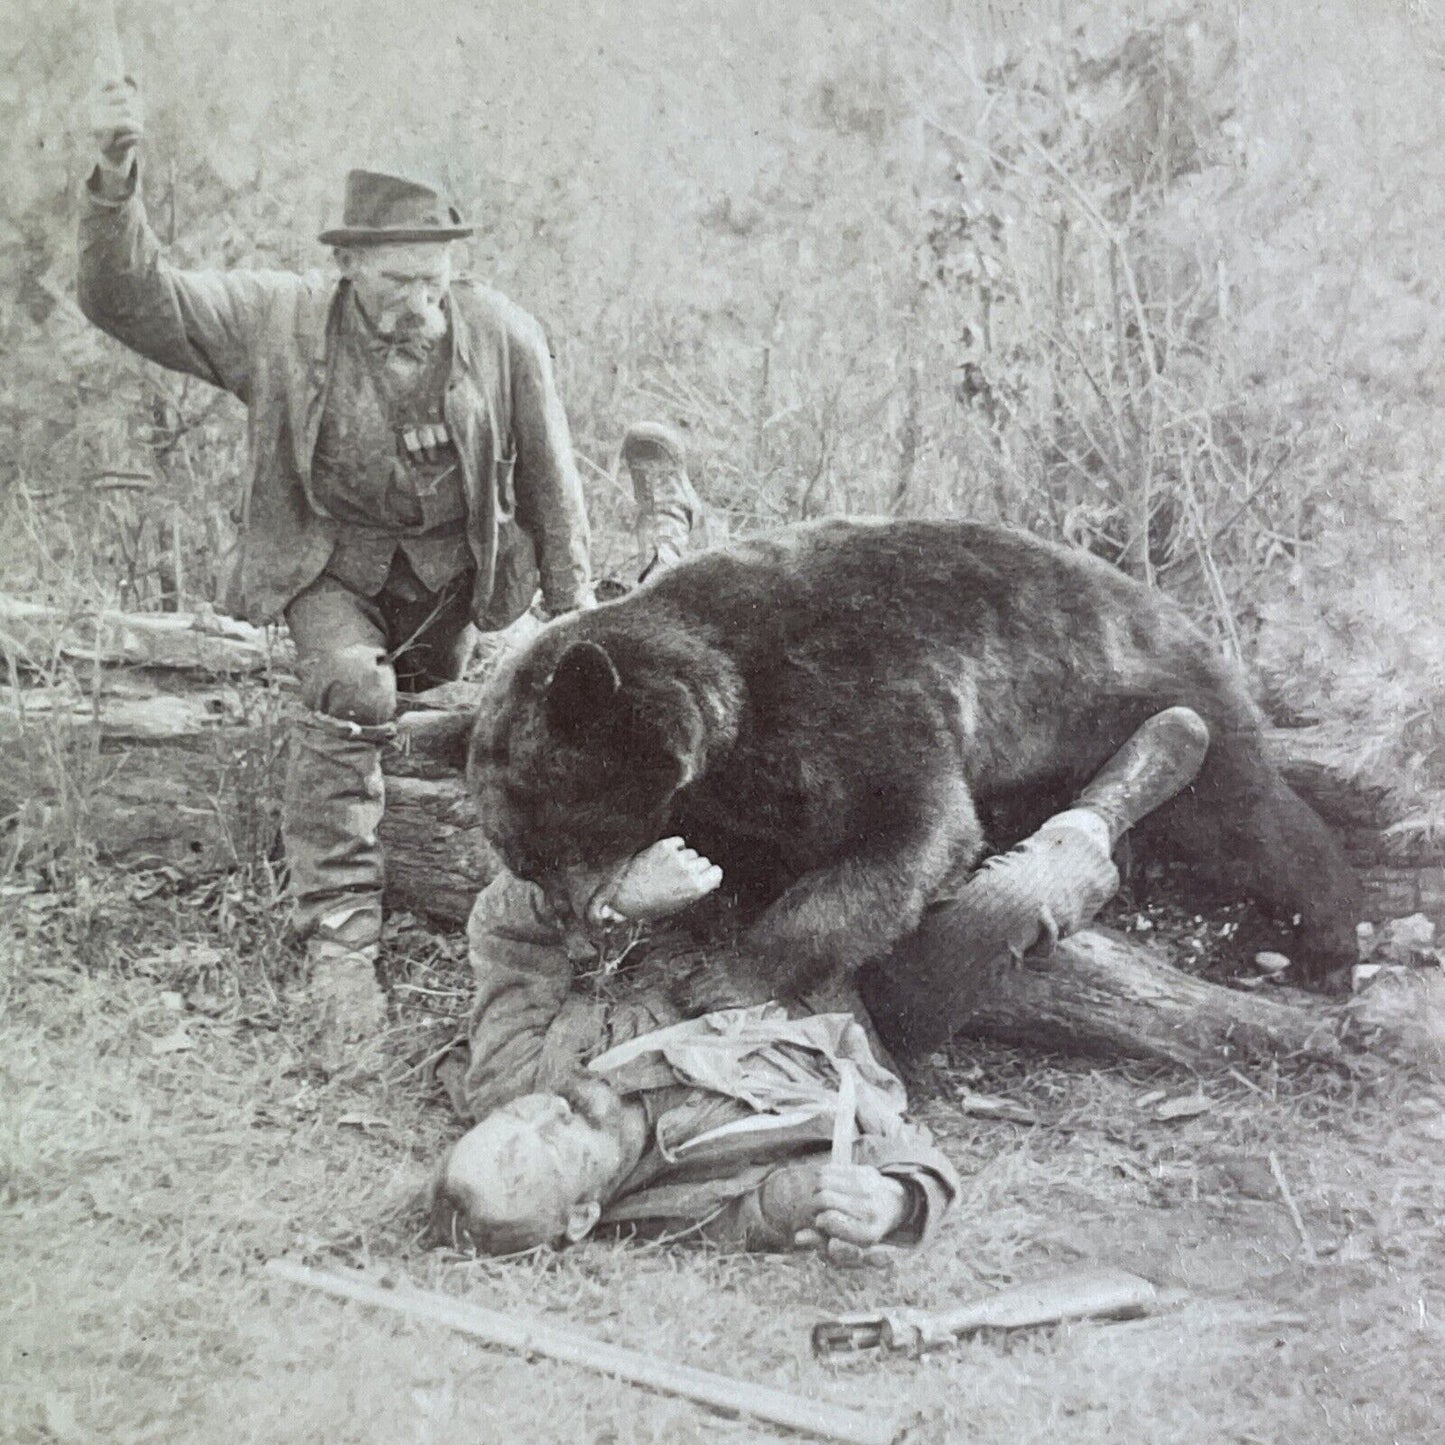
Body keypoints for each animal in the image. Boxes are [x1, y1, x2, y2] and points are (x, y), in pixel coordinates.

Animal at [468, 523, 1358, 1017]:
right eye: (524, 858)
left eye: (550, 841)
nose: (575, 934)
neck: (725, 686)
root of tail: (1180, 612)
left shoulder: (851, 690)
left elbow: (906, 830)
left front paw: (725, 978)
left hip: (1141, 691)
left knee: (1247, 816)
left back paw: (1328, 939)